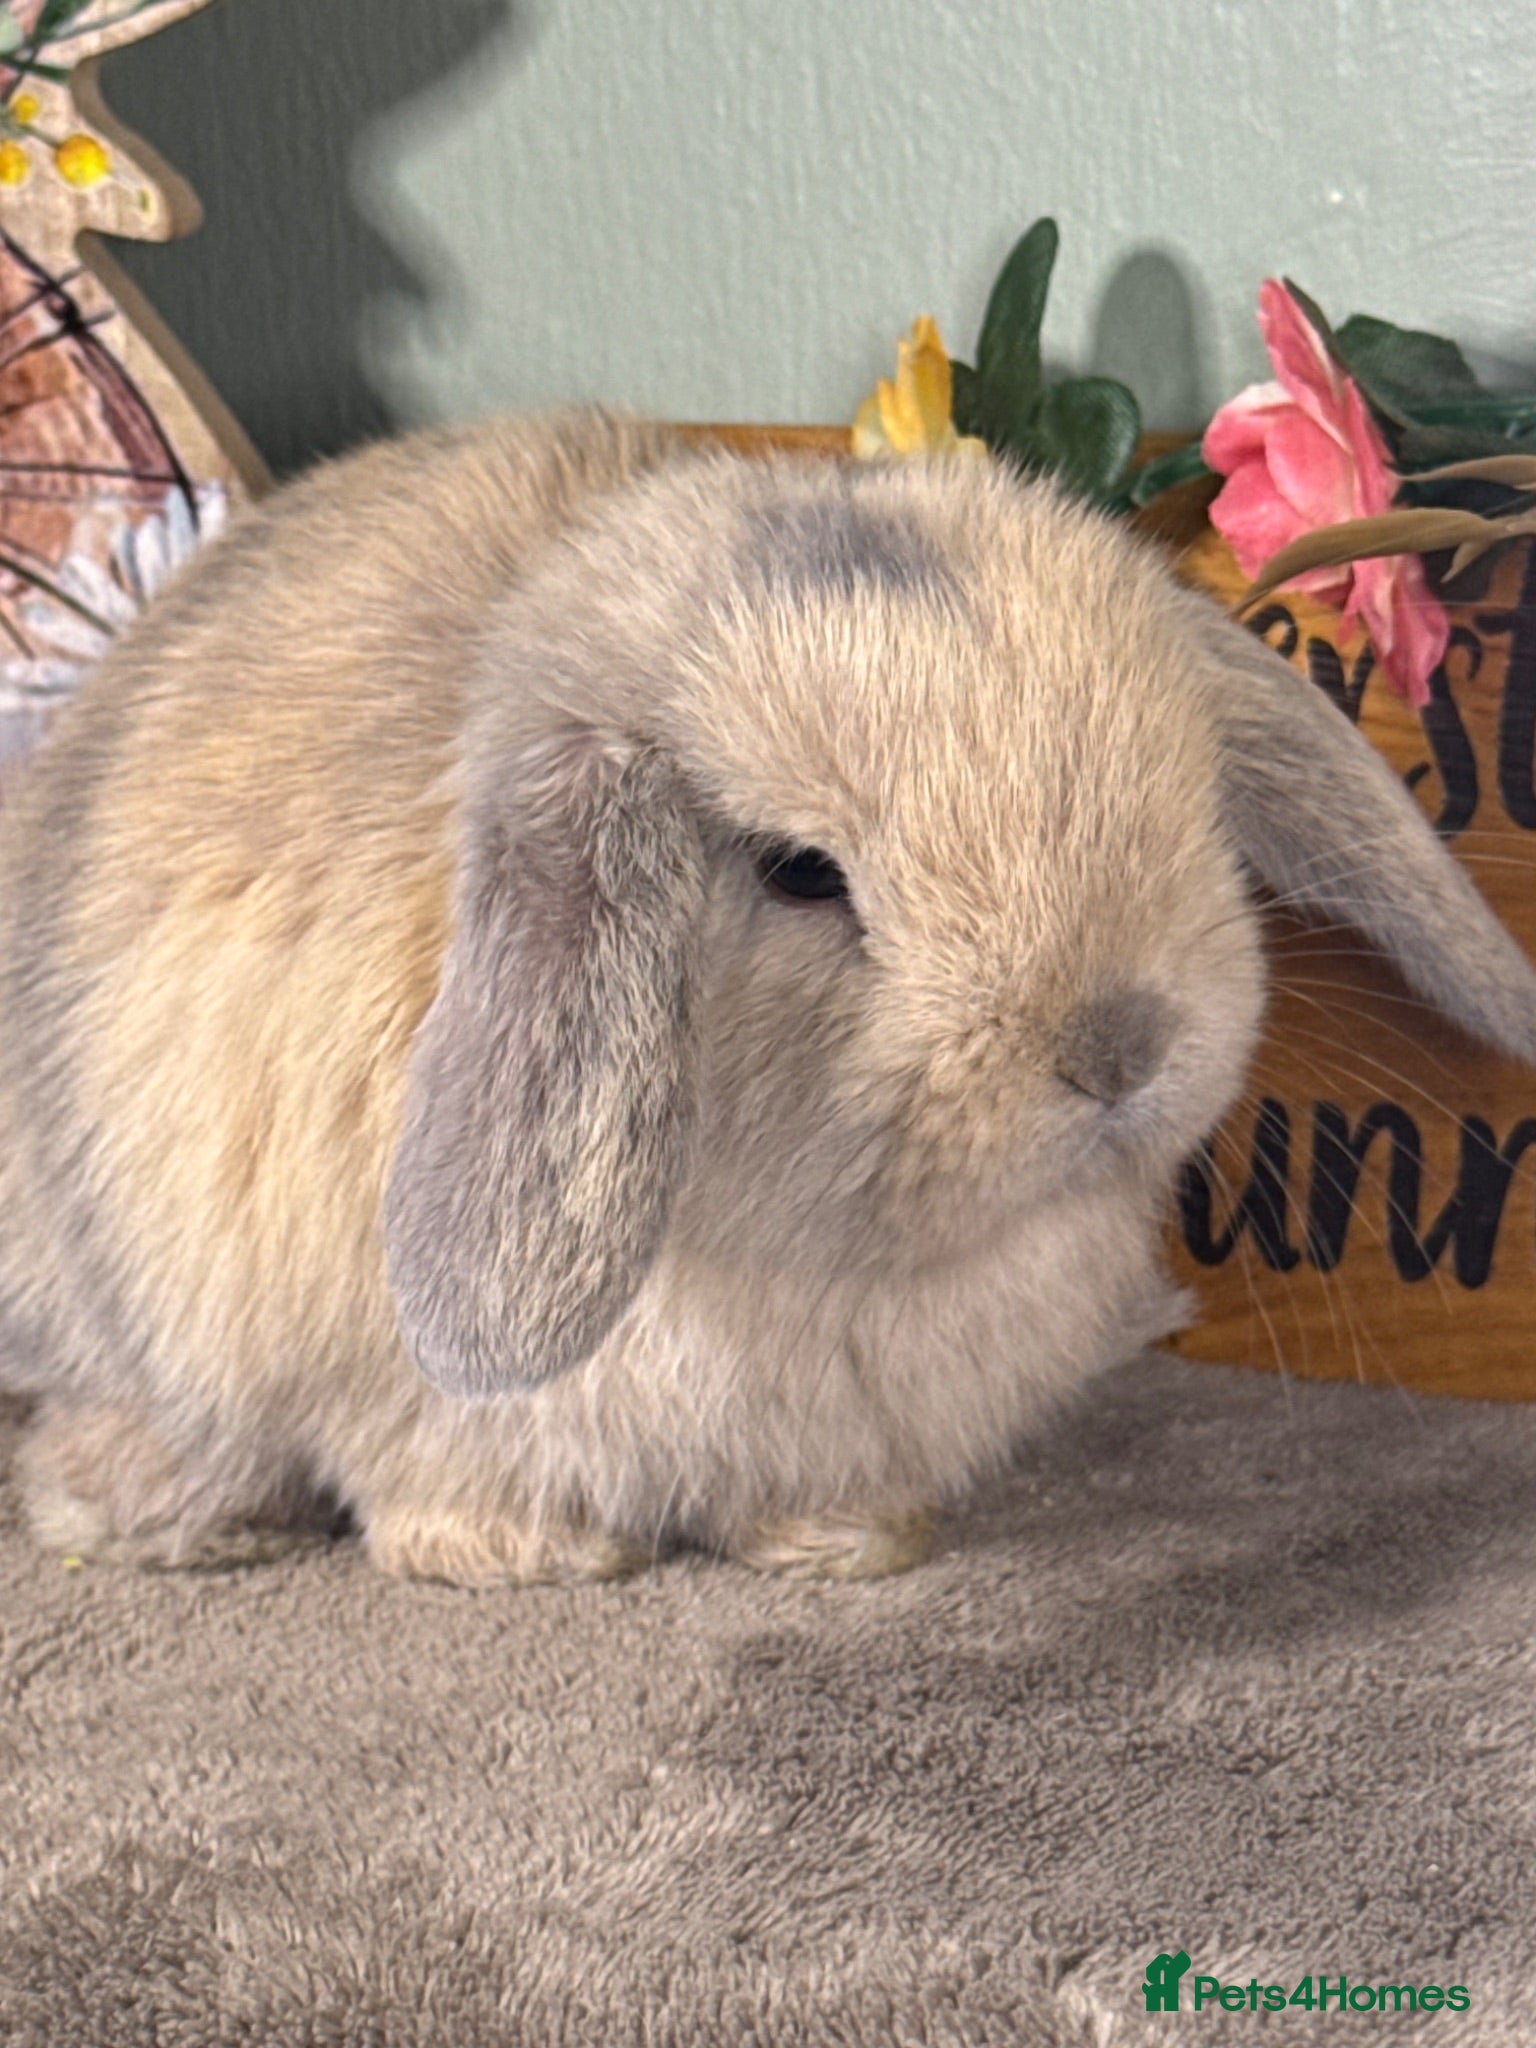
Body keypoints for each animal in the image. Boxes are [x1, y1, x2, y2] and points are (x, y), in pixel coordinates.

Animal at [2, 407, 1534, 1587]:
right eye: (800, 873)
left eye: (1189, 791)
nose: (1118, 1046)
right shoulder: (395, 1387)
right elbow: (431, 1482)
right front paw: (534, 1557)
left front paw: (849, 1541)